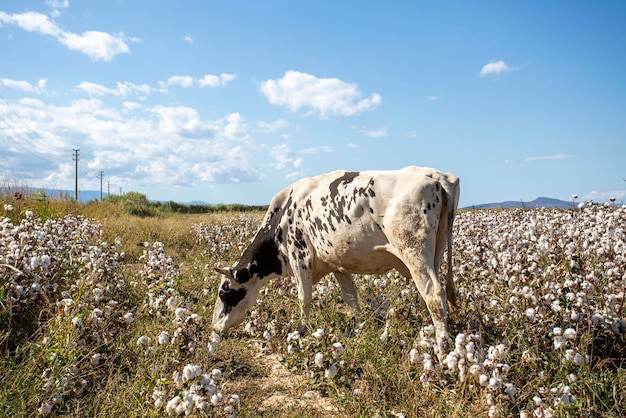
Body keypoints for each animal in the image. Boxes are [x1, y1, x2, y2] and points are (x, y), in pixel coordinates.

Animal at [211, 165, 458, 358]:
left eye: (225, 293)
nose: (215, 327)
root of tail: (437, 175)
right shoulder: (338, 265)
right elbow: (351, 299)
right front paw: (360, 326)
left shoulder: (300, 257)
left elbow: (304, 298)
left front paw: (300, 331)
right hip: (436, 253)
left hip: (414, 253)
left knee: (434, 295)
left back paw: (442, 350)